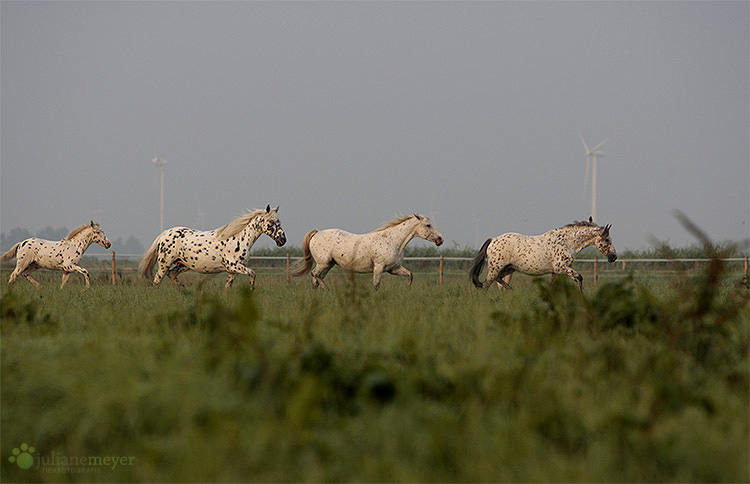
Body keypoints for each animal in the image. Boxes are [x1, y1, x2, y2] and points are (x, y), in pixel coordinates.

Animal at [140, 205, 286, 290]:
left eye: (279, 221)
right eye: (271, 222)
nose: (282, 240)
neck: (239, 239)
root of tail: (164, 234)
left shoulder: (232, 271)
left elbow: (227, 288)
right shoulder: (233, 265)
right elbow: (252, 273)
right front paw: (252, 290)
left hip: (183, 264)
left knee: (172, 274)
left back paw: (183, 289)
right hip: (164, 264)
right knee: (157, 281)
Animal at [292, 215, 446, 290]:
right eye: (428, 225)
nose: (440, 239)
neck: (392, 241)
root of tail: (317, 233)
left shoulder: (394, 269)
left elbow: (410, 275)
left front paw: (408, 291)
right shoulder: (379, 267)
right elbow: (376, 285)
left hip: (329, 264)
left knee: (316, 279)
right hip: (323, 263)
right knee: (315, 275)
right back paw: (328, 291)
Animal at [470, 218, 616, 292]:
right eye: (607, 240)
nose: (613, 257)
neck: (567, 242)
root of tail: (493, 240)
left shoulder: (558, 271)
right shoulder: (561, 267)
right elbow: (579, 277)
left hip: (508, 268)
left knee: (498, 280)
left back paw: (510, 290)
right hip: (495, 268)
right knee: (486, 284)